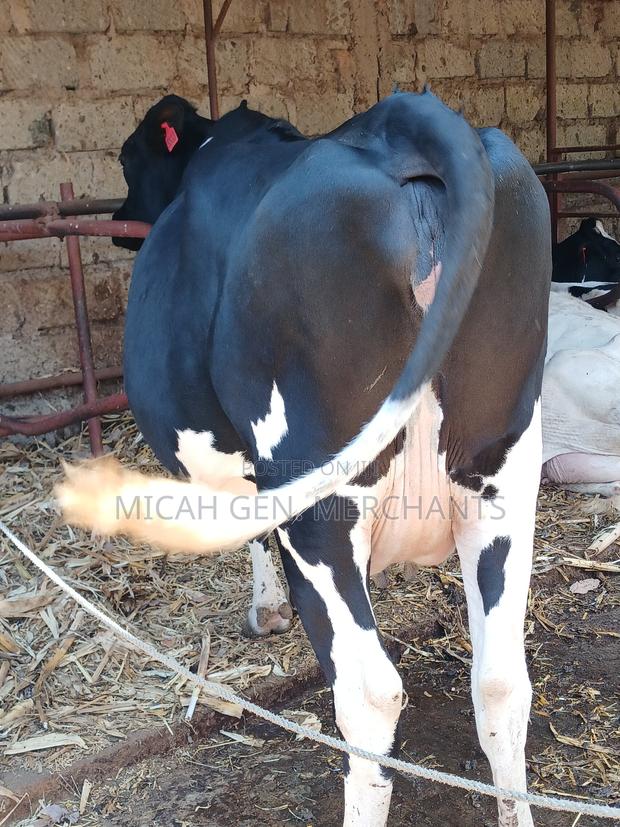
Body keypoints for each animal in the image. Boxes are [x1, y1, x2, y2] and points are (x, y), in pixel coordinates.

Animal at [58, 90, 551, 827]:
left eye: (127, 157)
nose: (117, 223)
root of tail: (401, 119)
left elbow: (254, 532)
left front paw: (266, 612)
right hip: (502, 475)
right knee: (500, 683)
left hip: (321, 497)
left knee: (372, 695)